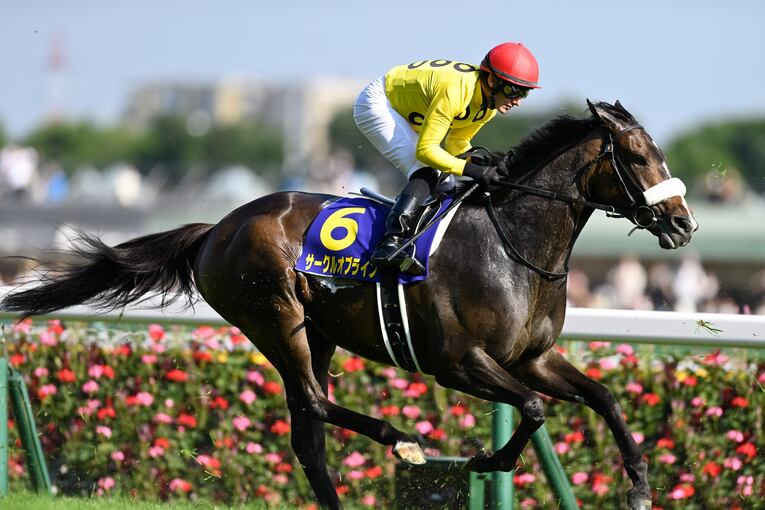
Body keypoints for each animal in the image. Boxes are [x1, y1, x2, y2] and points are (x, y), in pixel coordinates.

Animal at [2, 100, 697, 510]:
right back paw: (402, 439)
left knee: (308, 435)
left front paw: (639, 486)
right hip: (274, 318)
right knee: (313, 402)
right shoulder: (458, 363)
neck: (513, 245)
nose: (684, 224)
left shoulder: (531, 358)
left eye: (660, 152)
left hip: (319, 330)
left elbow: (601, 397)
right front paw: (483, 458)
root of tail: (216, 227)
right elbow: (530, 409)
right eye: (638, 156)